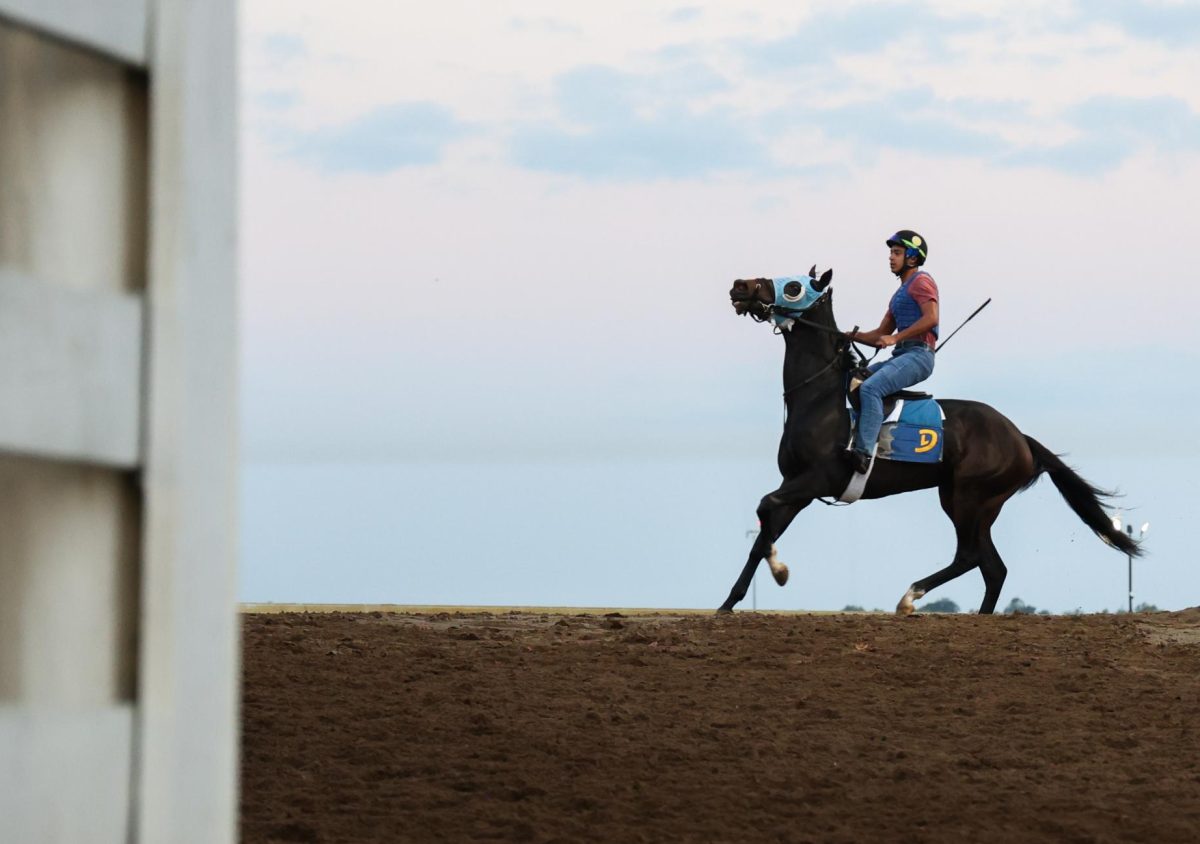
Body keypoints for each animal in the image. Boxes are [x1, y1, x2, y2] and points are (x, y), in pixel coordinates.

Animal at [715, 268, 1137, 614]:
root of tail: (1020, 437)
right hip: (966, 500)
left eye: (794, 285)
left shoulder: (819, 478)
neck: (819, 397)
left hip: (970, 497)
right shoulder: (797, 485)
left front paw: (779, 570)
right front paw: (730, 601)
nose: (740, 286)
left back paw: (909, 597)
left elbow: (765, 506)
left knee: (970, 556)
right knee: (993, 567)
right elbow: (764, 528)